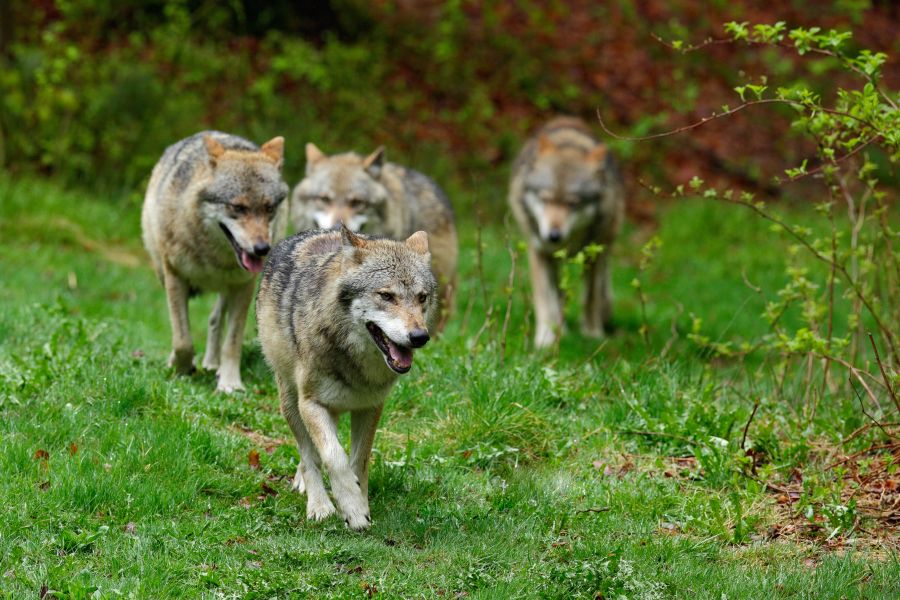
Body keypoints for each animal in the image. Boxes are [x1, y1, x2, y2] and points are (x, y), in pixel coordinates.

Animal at [142, 131, 288, 394]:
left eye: (269, 208)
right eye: (238, 207)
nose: (262, 249)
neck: (213, 258)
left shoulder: (244, 286)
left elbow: (232, 342)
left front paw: (230, 383)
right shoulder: (175, 277)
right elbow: (182, 340)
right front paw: (182, 368)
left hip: (228, 289)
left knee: (214, 319)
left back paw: (212, 364)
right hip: (163, 272)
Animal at [255, 224, 438, 528]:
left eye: (422, 297)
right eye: (386, 296)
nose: (420, 337)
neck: (354, 363)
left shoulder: (370, 407)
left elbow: (359, 461)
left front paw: (360, 502)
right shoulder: (311, 404)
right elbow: (334, 457)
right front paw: (350, 508)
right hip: (291, 402)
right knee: (308, 455)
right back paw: (318, 505)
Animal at [506, 116, 624, 346]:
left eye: (573, 203)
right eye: (545, 198)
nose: (553, 236)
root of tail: (567, 118)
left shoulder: (593, 255)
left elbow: (591, 297)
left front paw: (593, 334)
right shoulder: (539, 252)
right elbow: (545, 299)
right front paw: (545, 338)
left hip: (606, 243)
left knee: (602, 284)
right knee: (557, 295)